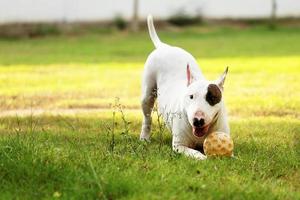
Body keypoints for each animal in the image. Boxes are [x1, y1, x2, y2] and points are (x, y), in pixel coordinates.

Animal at [141, 14, 230, 160]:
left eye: (212, 97)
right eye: (191, 96)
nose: (198, 120)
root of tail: (164, 47)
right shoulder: (179, 146)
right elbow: (194, 152)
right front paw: (202, 158)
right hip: (147, 94)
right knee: (147, 117)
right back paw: (144, 138)